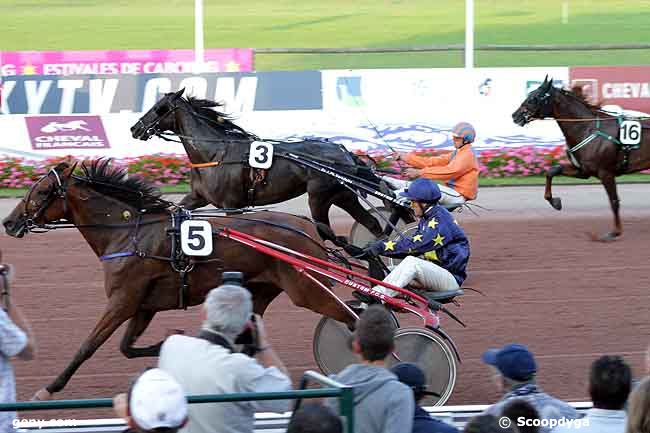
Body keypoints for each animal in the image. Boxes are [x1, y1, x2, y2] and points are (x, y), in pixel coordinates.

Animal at [1, 158, 354, 398]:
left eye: (42, 191)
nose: (9, 222)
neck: (128, 233)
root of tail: (308, 227)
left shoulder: (123, 300)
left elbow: (88, 346)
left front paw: (49, 388)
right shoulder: (144, 305)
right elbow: (127, 348)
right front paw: (170, 345)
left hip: (306, 289)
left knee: (351, 317)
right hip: (261, 290)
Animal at [129, 88, 388, 236]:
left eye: (160, 108)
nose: (135, 128)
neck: (214, 154)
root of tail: (344, 152)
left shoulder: (232, 206)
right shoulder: (196, 197)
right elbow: (177, 210)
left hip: (319, 198)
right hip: (343, 195)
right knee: (372, 223)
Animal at [512, 76, 648, 241]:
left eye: (535, 97)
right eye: (530, 94)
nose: (515, 115)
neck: (587, 128)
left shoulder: (606, 173)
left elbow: (614, 201)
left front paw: (614, 232)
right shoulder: (583, 170)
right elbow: (552, 170)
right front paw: (555, 202)